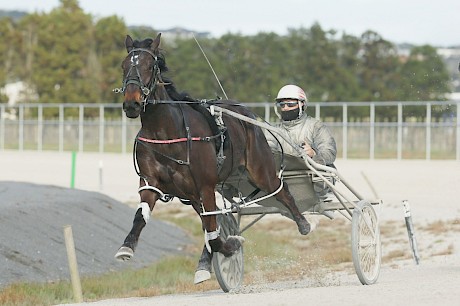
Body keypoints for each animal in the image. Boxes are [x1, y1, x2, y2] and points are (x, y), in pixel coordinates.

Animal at [113, 34, 310, 284]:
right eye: (124, 65)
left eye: (150, 65)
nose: (132, 103)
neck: (165, 132)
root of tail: (245, 112)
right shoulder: (151, 183)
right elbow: (141, 216)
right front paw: (126, 248)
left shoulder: (205, 186)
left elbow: (214, 234)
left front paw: (232, 245)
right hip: (191, 195)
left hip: (260, 169)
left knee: (281, 190)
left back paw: (303, 223)